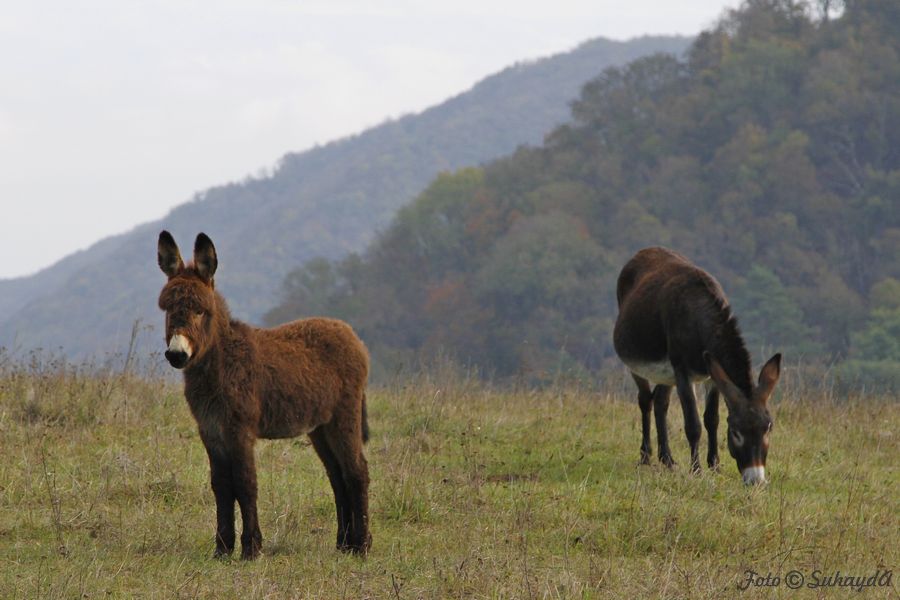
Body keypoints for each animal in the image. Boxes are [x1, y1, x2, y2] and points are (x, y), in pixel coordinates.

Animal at [157, 231, 372, 558]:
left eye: (200, 311)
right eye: (168, 309)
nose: (176, 355)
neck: (221, 361)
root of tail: (351, 334)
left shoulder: (240, 429)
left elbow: (246, 483)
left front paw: (250, 549)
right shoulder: (210, 431)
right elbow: (221, 486)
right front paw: (222, 549)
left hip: (344, 417)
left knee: (357, 472)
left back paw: (362, 545)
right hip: (320, 427)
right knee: (337, 476)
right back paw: (343, 544)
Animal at [613, 246, 781, 484]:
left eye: (768, 428)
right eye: (736, 432)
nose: (755, 479)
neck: (699, 317)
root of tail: (646, 250)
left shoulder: (713, 374)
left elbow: (712, 419)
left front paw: (715, 465)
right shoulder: (683, 372)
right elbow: (693, 424)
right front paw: (697, 470)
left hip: (666, 373)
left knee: (661, 402)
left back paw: (668, 459)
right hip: (639, 362)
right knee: (645, 400)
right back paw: (646, 456)